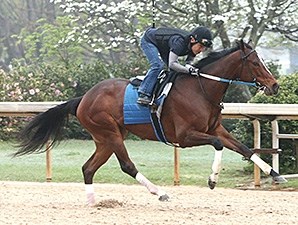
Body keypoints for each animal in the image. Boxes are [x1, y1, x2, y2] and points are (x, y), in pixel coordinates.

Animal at [14, 39, 286, 205]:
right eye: (255, 62)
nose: (274, 85)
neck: (201, 89)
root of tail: (83, 98)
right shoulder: (185, 137)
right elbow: (218, 145)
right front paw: (212, 180)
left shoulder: (215, 128)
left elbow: (245, 149)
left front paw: (276, 174)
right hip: (110, 134)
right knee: (127, 166)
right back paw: (160, 192)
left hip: (105, 139)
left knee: (88, 168)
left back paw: (92, 202)